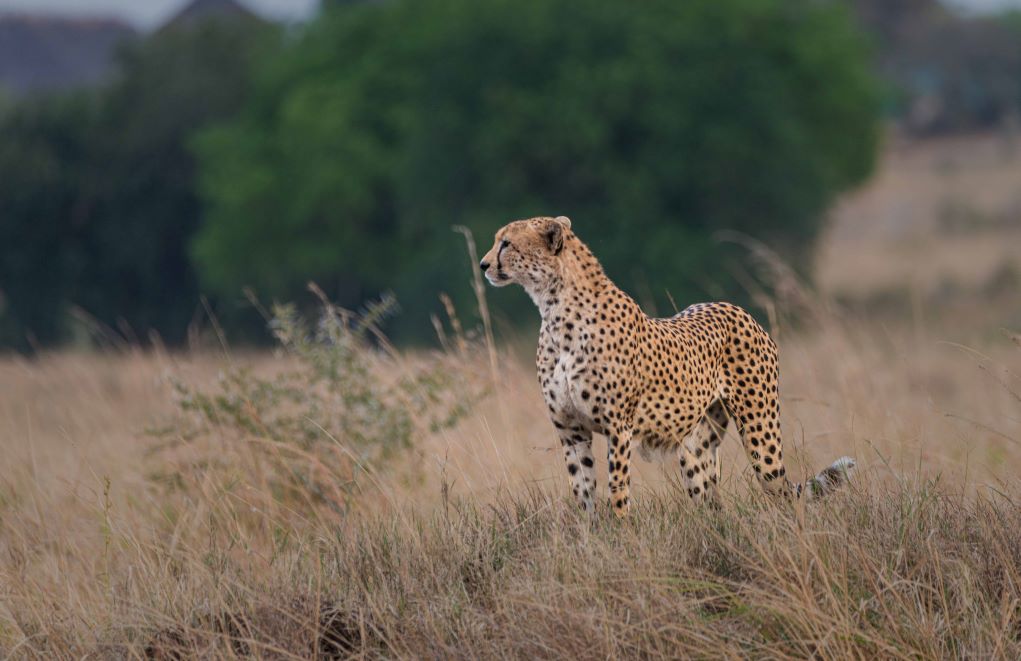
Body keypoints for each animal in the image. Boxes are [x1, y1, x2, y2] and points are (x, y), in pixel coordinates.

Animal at [477, 217, 853, 516]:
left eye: (506, 243)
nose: (482, 265)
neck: (555, 308)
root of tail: (737, 309)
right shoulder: (571, 430)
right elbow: (582, 491)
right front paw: (591, 538)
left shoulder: (619, 427)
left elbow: (617, 490)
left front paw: (621, 535)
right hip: (695, 447)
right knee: (711, 505)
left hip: (760, 432)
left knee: (781, 493)